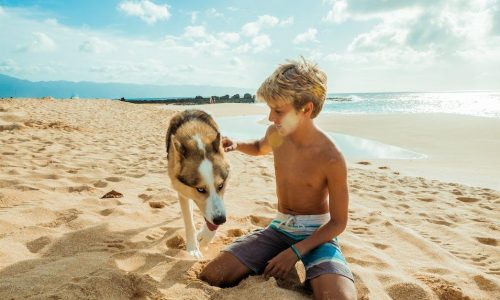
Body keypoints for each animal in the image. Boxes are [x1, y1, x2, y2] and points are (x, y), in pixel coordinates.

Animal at [168, 109, 230, 258]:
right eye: (200, 189)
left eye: (220, 186)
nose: (221, 220)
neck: (198, 140)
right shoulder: (182, 191)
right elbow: (189, 221)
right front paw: (193, 248)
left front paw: (205, 238)